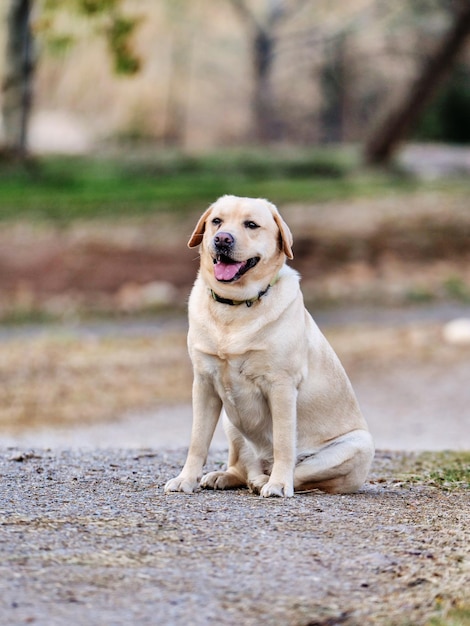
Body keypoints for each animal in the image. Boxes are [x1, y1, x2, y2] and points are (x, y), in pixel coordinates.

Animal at [165, 195, 374, 498]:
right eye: (217, 221)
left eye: (251, 225)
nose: (222, 239)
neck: (235, 306)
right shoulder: (203, 384)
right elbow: (197, 441)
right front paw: (186, 479)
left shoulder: (281, 385)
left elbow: (284, 442)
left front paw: (278, 485)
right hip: (230, 420)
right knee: (242, 466)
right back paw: (227, 476)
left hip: (357, 446)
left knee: (299, 473)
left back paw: (267, 480)